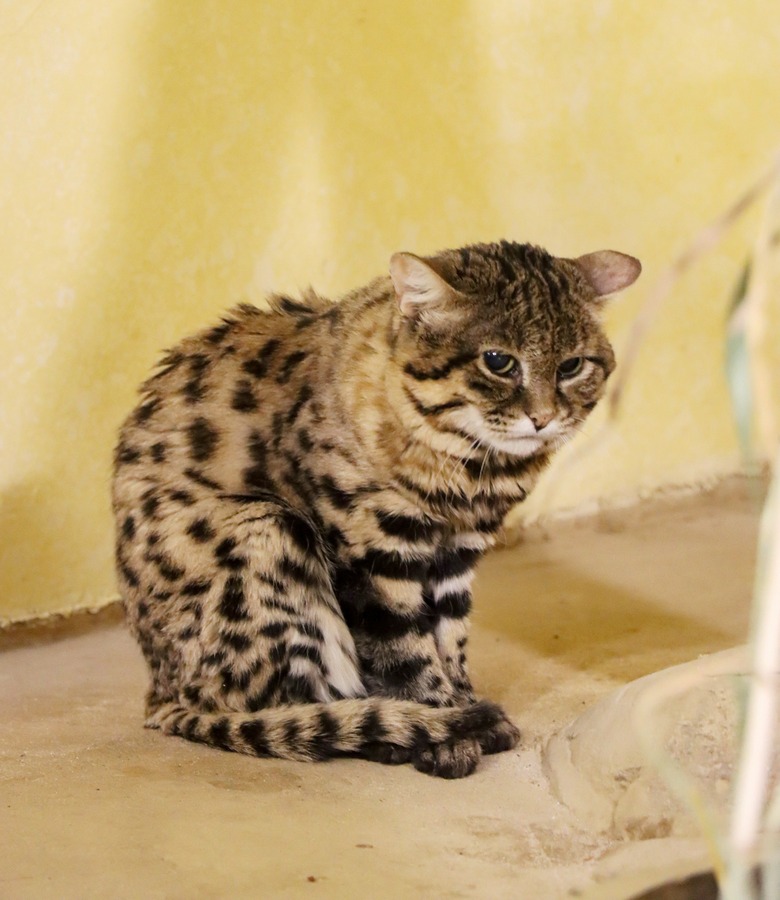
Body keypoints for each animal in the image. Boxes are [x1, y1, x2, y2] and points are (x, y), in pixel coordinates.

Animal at [114, 239, 640, 772]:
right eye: (498, 361)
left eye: (572, 366)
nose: (543, 418)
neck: (468, 470)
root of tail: (159, 694)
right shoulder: (373, 549)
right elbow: (402, 649)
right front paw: (445, 726)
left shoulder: (457, 553)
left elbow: (450, 637)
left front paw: (460, 703)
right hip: (268, 531)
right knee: (276, 711)